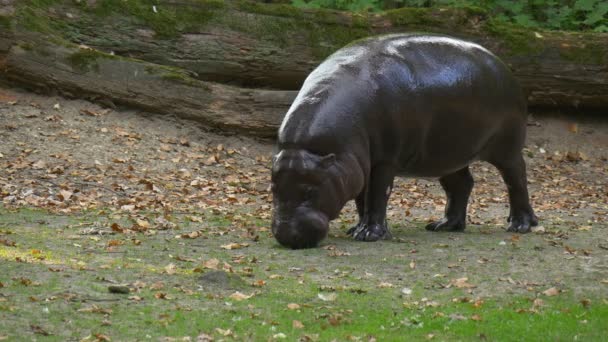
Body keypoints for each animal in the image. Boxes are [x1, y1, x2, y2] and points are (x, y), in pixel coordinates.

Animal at [270, 34, 536, 248]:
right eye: (273, 189)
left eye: (310, 191)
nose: (286, 236)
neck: (313, 148)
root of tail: (503, 66)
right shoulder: (356, 163)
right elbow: (361, 197)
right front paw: (356, 229)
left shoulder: (384, 160)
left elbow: (377, 195)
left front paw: (370, 235)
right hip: (447, 154)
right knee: (461, 184)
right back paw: (444, 225)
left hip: (506, 148)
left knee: (516, 178)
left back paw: (520, 225)